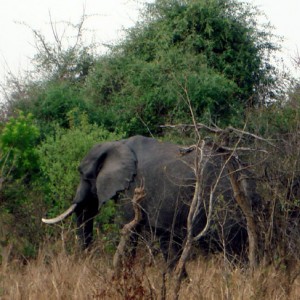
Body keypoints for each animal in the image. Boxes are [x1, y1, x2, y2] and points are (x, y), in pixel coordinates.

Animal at [41, 135, 258, 268]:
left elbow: (128, 232)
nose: (83, 261)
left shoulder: (133, 188)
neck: (117, 143)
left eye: (84, 175)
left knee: (232, 251)